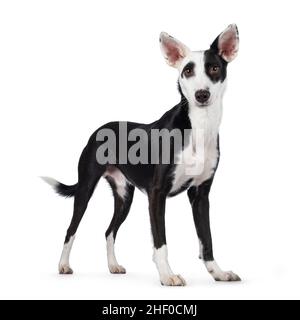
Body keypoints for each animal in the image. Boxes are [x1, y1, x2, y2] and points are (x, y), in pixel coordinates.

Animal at [43, 25, 241, 284]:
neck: (199, 127)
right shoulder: (157, 194)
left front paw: (218, 272)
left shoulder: (200, 195)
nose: (201, 95)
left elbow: (206, 239)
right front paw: (167, 275)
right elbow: (161, 242)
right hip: (86, 188)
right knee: (71, 229)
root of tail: (99, 129)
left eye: (214, 68)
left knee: (109, 231)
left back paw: (113, 266)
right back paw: (64, 265)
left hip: (124, 197)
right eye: (187, 71)